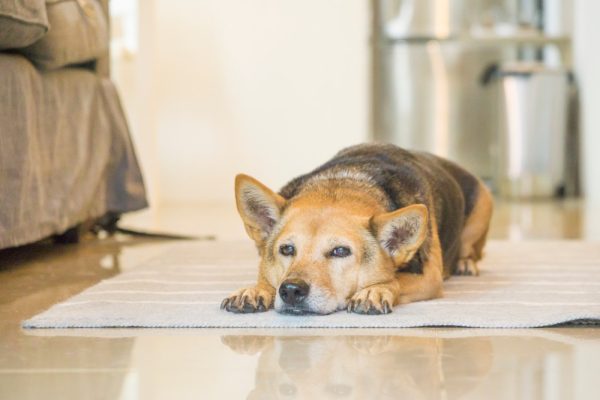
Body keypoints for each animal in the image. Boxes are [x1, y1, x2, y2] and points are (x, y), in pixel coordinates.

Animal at [220, 144, 492, 316]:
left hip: (482, 209)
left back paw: (465, 263)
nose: (291, 290)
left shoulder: (430, 277)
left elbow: (395, 279)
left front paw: (374, 291)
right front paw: (256, 289)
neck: (346, 182)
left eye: (340, 251)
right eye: (286, 249)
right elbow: (266, 277)